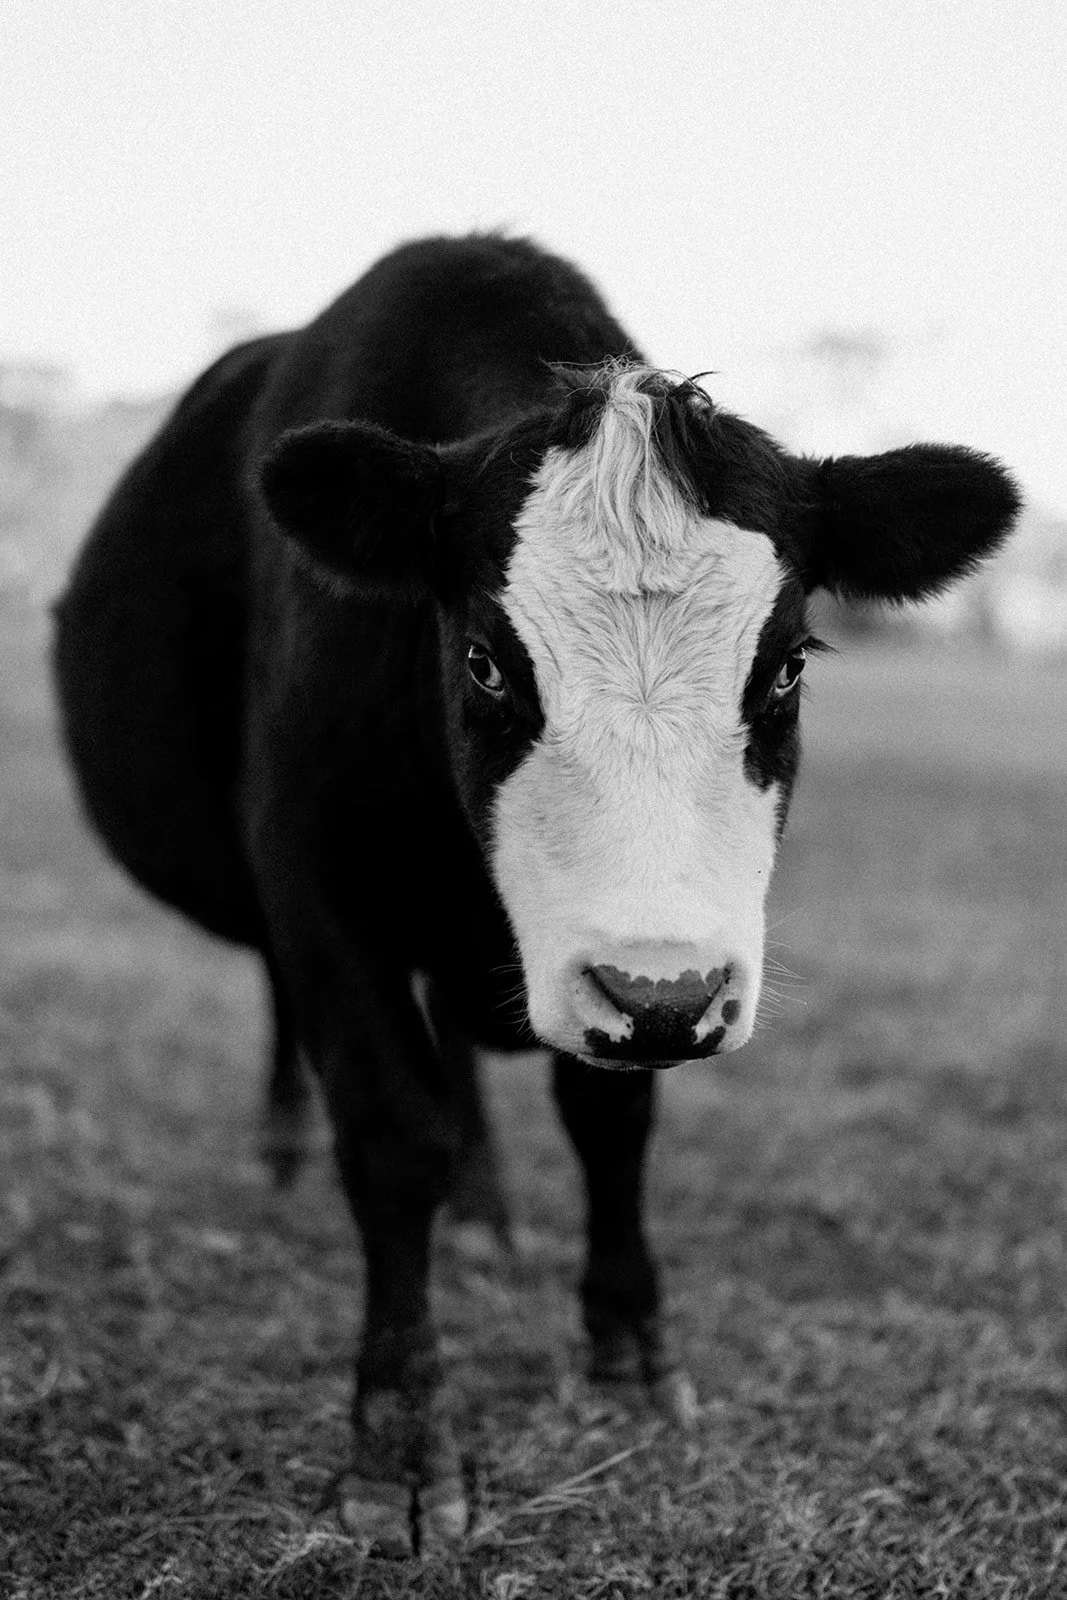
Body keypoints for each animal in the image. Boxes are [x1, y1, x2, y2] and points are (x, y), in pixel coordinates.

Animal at [53, 233, 1020, 1555]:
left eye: (783, 667)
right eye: (482, 661)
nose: (665, 997)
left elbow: (609, 1119)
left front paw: (626, 1353)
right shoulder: (314, 875)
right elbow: (391, 1131)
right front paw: (398, 1448)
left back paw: (483, 1204)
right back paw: (287, 1146)